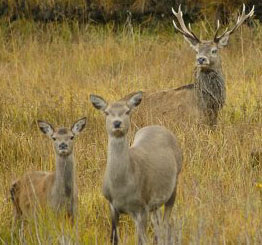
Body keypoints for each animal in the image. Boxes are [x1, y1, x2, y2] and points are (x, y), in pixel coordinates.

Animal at [90, 92, 182, 245]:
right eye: (106, 112)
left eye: (127, 111)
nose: (117, 123)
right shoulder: (112, 205)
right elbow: (114, 238)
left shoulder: (142, 206)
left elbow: (141, 239)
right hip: (154, 203)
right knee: (158, 224)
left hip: (174, 184)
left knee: (165, 223)